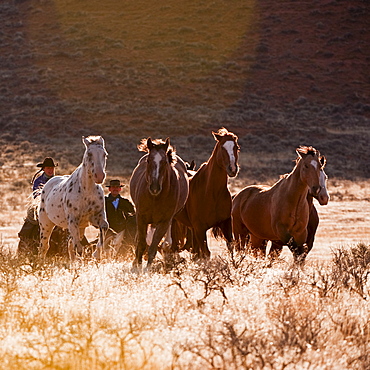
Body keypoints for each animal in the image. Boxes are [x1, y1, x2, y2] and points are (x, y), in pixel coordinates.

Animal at [129, 136, 189, 268]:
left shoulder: (164, 221)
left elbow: (153, 246)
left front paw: (147, 269)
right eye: (148, 161)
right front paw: (137, 266)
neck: (154, 198)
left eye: (165, 162)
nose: (154, 187)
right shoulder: (141, 218)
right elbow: (141, 243)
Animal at [174, 129, 240, 258]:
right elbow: (206, 253)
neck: (211, 192)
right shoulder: (200, 228)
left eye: (237, 148)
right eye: (222, 147)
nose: (232, 169)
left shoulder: (226, 223)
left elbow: (230, 248)